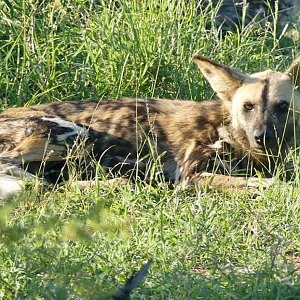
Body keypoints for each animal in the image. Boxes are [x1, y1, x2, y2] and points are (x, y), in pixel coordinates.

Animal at [0, 54, 300, 198]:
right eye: (248, 107)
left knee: (53, 183)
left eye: (282, 107)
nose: (262, 137)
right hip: (75, 134)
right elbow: (274, 184)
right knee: (33, 180)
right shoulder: (191, 177)